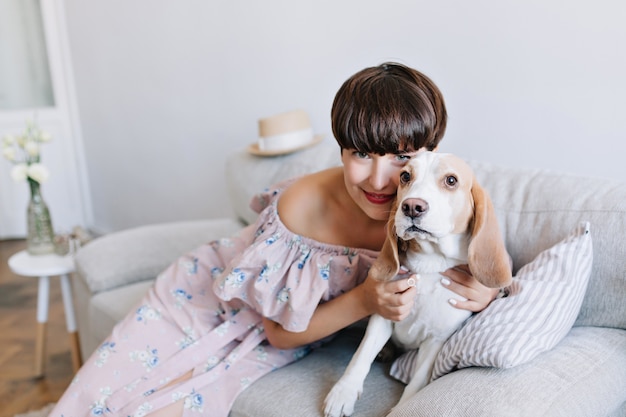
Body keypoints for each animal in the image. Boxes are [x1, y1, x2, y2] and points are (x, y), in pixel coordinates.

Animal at [324, 151, 510, 414]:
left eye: (451, 180)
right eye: (405, 176)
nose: (412, 206)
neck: (430, 265)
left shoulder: (435, 341)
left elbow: (417, 381)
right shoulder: (383, 317)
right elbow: (361, 356)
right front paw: (343, 392)